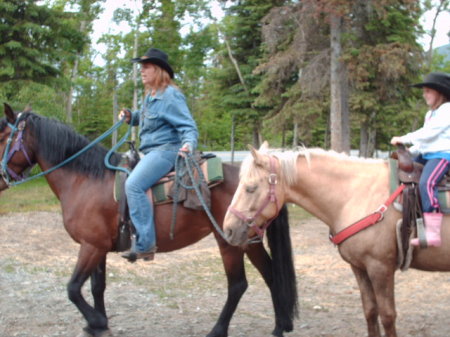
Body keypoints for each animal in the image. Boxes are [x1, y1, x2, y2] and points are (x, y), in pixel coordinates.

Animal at [0, 103, 298, 336]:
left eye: (3, 137)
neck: (86, 181)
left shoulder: (91, 246)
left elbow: (73, 289)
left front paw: (97, 321)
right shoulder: (98, 246)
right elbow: (97, 287)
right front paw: (98, 324)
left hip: (230, 241)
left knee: (238, 285)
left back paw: (218, 330)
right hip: (250, 240)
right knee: (272, 275)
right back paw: (279, 327)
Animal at [225, 141, 450, 336]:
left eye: (251, 188)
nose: (227, 230)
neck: (356, 195)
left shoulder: (380, 268)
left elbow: (387, 316)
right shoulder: (360, 267)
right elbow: (370, 312)